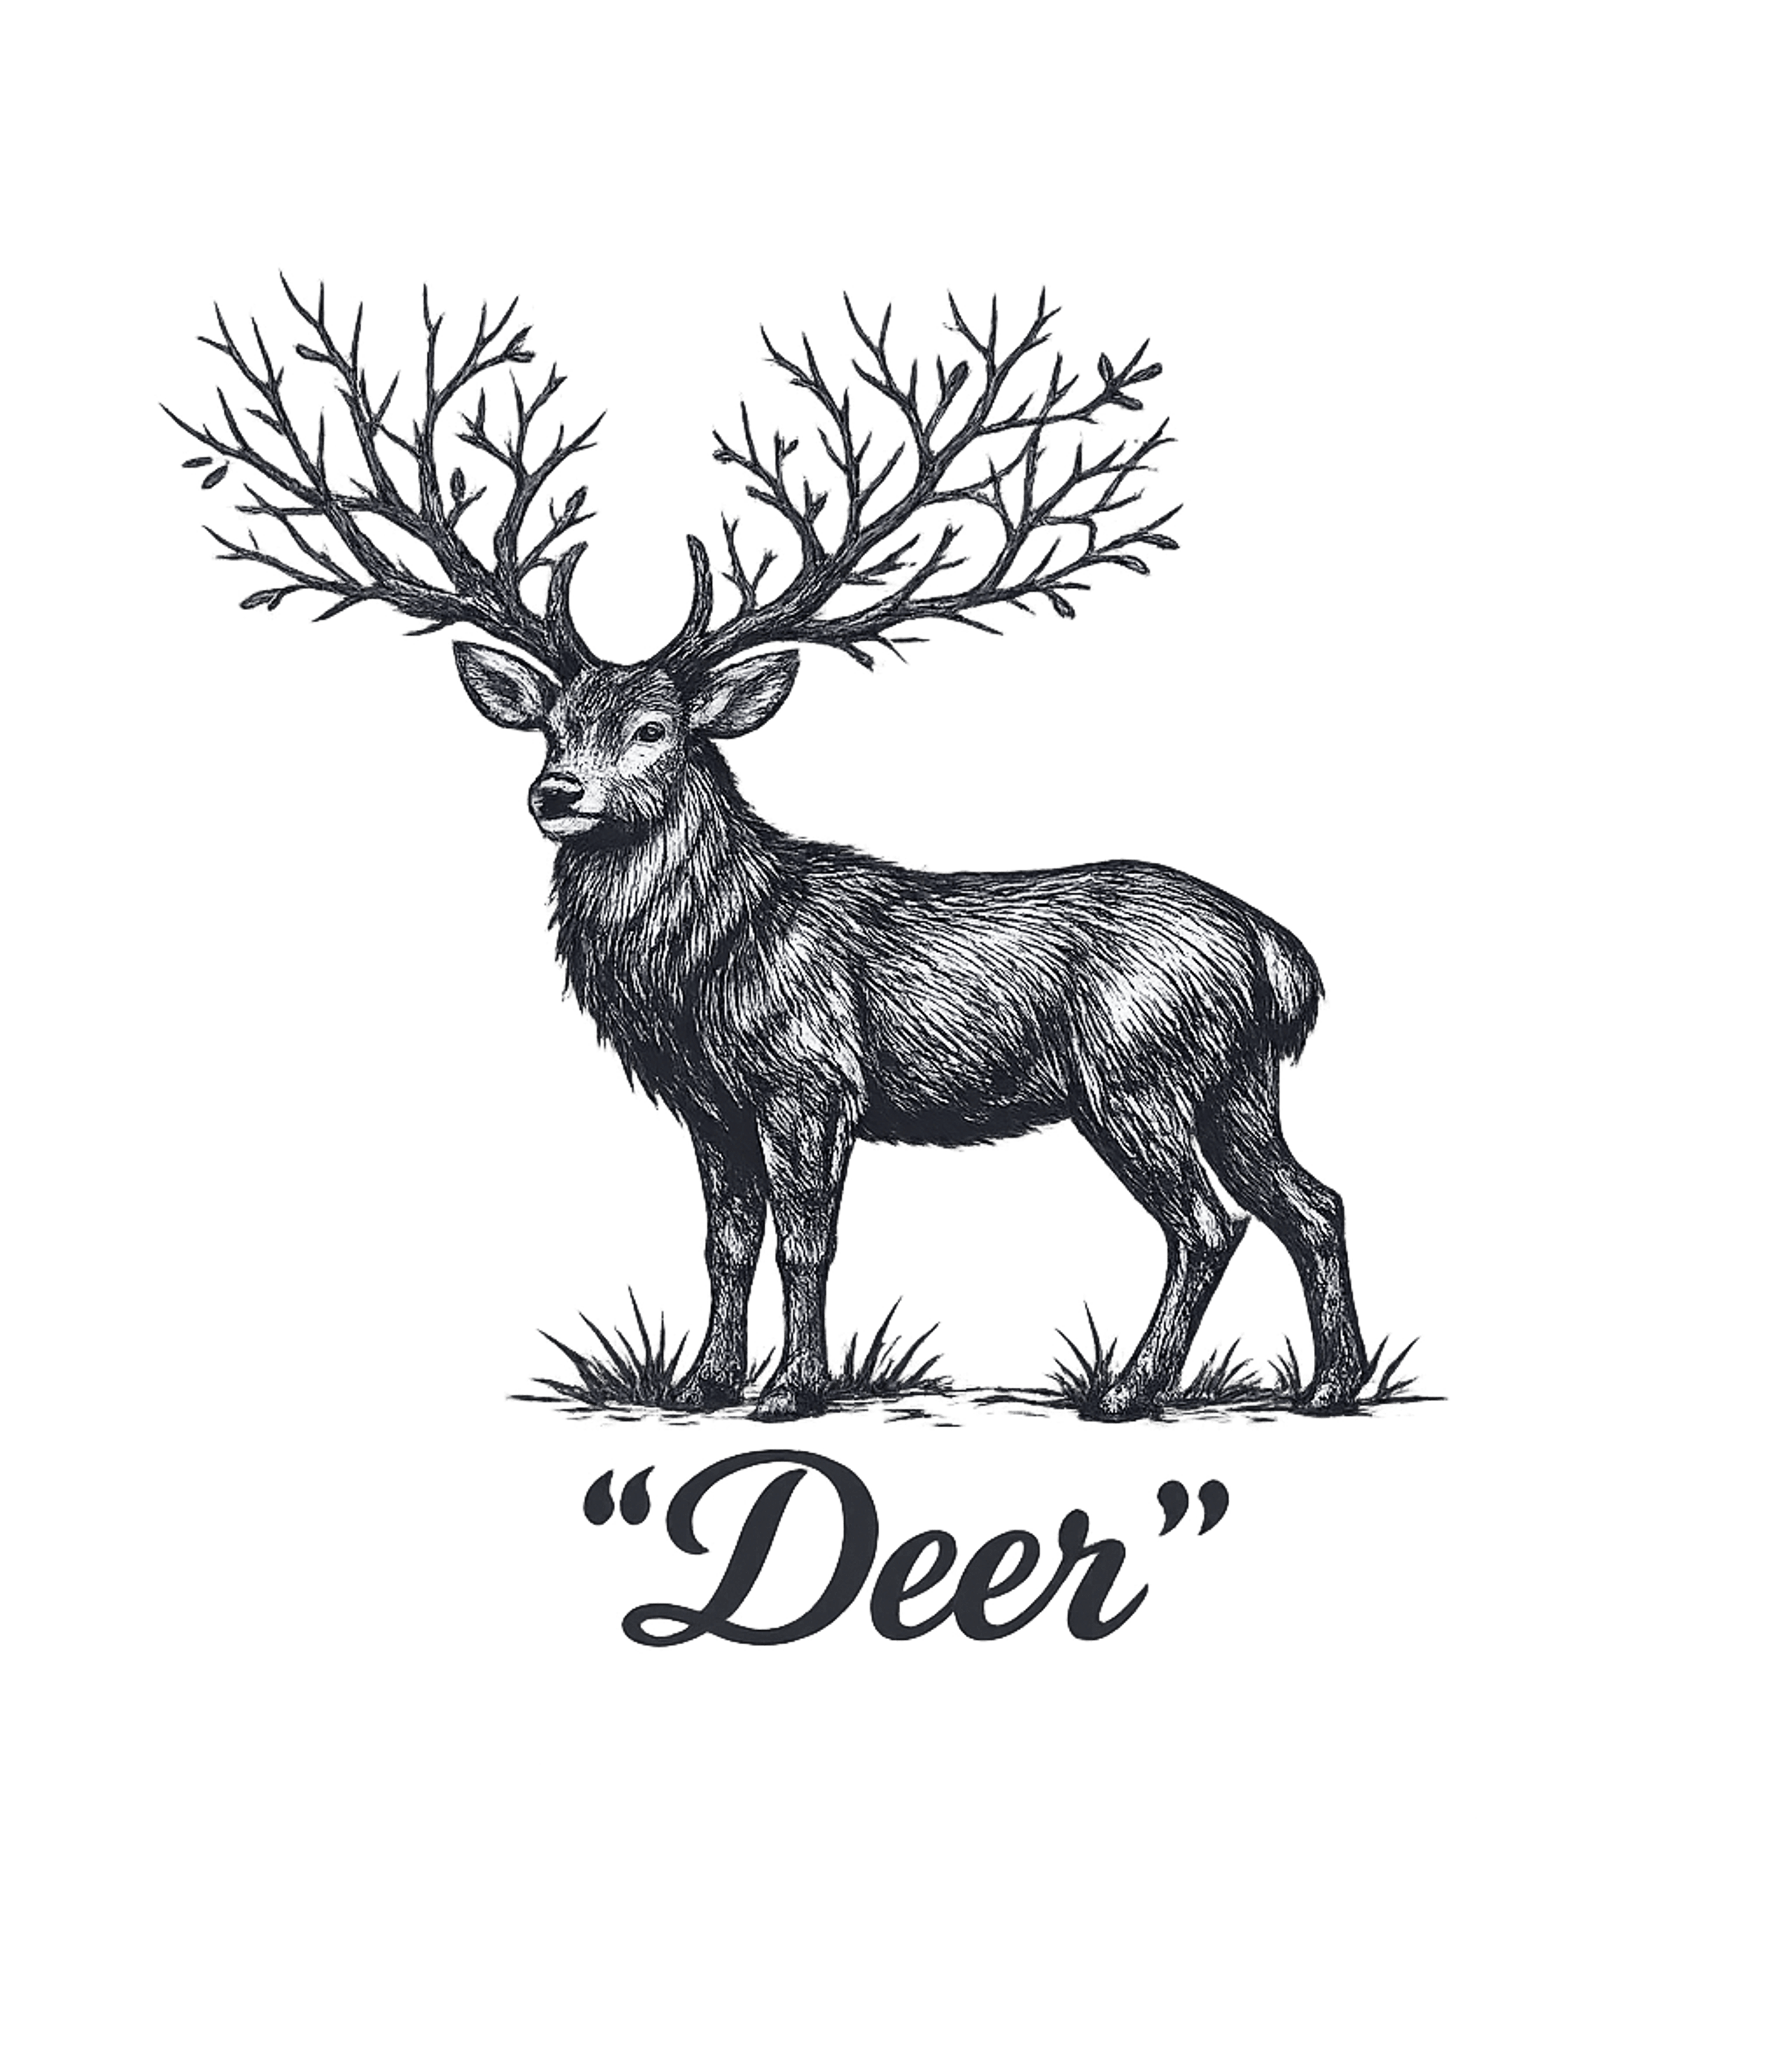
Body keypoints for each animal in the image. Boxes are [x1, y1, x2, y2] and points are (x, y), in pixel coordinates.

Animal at [163, 274, 1368, 1420]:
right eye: (555, 725)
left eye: (656, 729)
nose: (555, 791)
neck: (703, 963)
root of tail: (1273, 955)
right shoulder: (709, 1104)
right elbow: (728, 1242)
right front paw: (703, 1382)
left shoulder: (807, 1079)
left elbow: (803, 1237)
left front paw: (793, 1386)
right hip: (1239, 1082)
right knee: (1310, 1200)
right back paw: (1330, 1383)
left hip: (1138, 1071)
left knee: (1209, 1220)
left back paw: (1130, 1388)